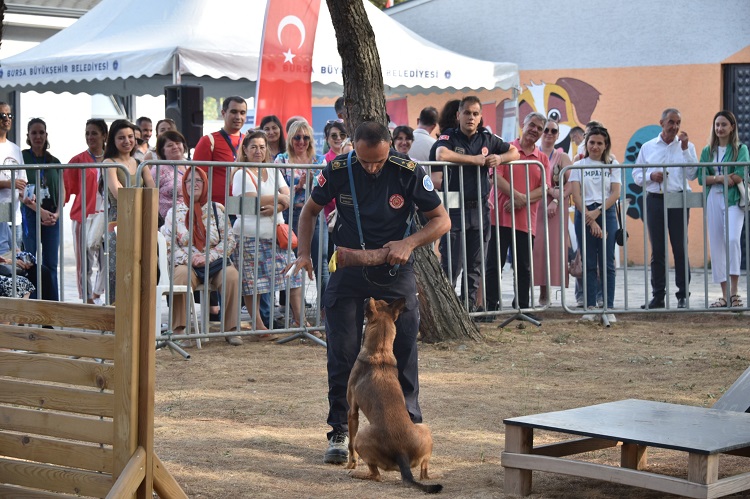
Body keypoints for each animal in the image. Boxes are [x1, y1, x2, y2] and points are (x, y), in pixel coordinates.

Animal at [348, 298, 446, 494]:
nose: (364, 298)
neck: (380, 352)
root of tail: (401, 453)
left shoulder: (352, 411)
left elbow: (350, 442)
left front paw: (351, 464)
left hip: (361, 436)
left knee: (376, 475)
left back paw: (358, 473)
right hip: (425, 428)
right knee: (424, 473)